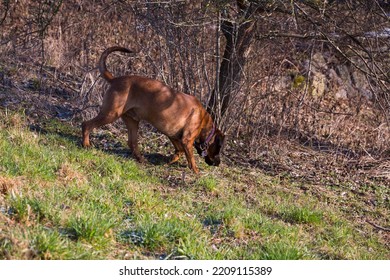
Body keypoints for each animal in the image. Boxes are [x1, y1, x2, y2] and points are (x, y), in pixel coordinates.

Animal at [82, 46, 225, 173]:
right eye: (219, 148)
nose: (218, 163)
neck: (204, 121)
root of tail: (115, 80)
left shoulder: (173, 134)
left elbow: (179, 151)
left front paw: (170, 160)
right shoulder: (186, 140)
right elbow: (190, 157)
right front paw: (196, 171)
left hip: (132, 121)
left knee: (132, 142)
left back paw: (141, 159)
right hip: (111, 114)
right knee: (86, 124)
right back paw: (86, 145)